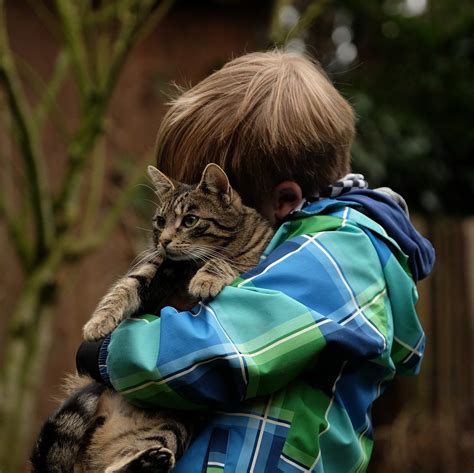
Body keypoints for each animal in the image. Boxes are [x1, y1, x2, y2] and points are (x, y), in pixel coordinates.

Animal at [31, 163, 274, 472]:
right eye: (160, 220)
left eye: (190, 220)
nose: (164, 240)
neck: (186, 267)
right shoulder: (151, 267)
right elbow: (122, 289)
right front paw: (98, 323)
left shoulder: (248, 258)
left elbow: (225, 260)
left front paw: (206, 278)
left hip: (174, 425)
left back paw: (149, 460)